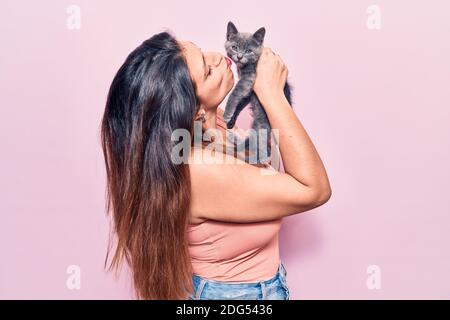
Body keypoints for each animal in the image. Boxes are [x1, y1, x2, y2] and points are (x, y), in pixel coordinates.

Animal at [223, 21, 294, 165]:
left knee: (263, 151)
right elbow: (240, 103)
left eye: (249, 51)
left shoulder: (249, 78)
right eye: (234, 47)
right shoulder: (249, 91)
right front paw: (231, 119)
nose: (240, 56)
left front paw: (227, 114)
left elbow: (235, 94)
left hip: (261, 124)